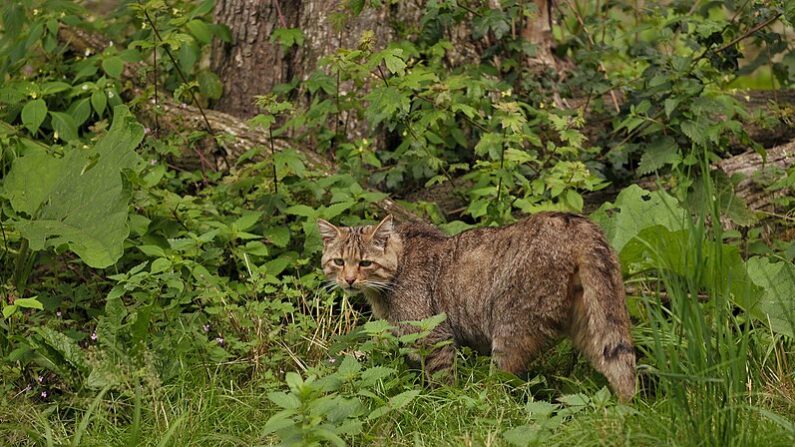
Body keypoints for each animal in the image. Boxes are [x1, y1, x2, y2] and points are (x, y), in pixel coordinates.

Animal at [320, 214, 636, 402]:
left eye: (365, 263)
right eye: (338, 261)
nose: (349, 280)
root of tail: (576, 223)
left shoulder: (433, 334)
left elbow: (443, 380)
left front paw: (445, 404)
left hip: (510, 328)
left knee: (502, 387)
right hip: (593, 322)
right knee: (619, 364)